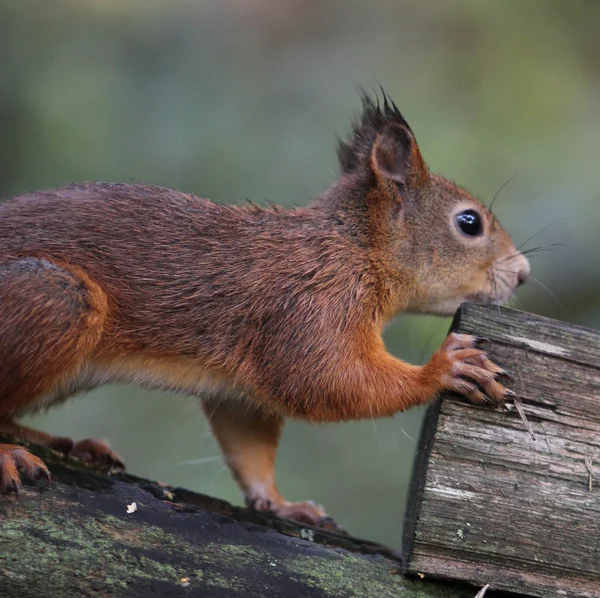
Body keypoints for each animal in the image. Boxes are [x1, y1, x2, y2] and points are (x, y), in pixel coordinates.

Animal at [0, 92, 528, 528]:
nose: (522, 274)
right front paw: (444, 369)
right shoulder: (307, 307)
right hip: (57, 298)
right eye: (469, 223)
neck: (353, 250)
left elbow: (249, 440)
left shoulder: (241, 382)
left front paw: (279, 502)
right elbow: (325, 380)